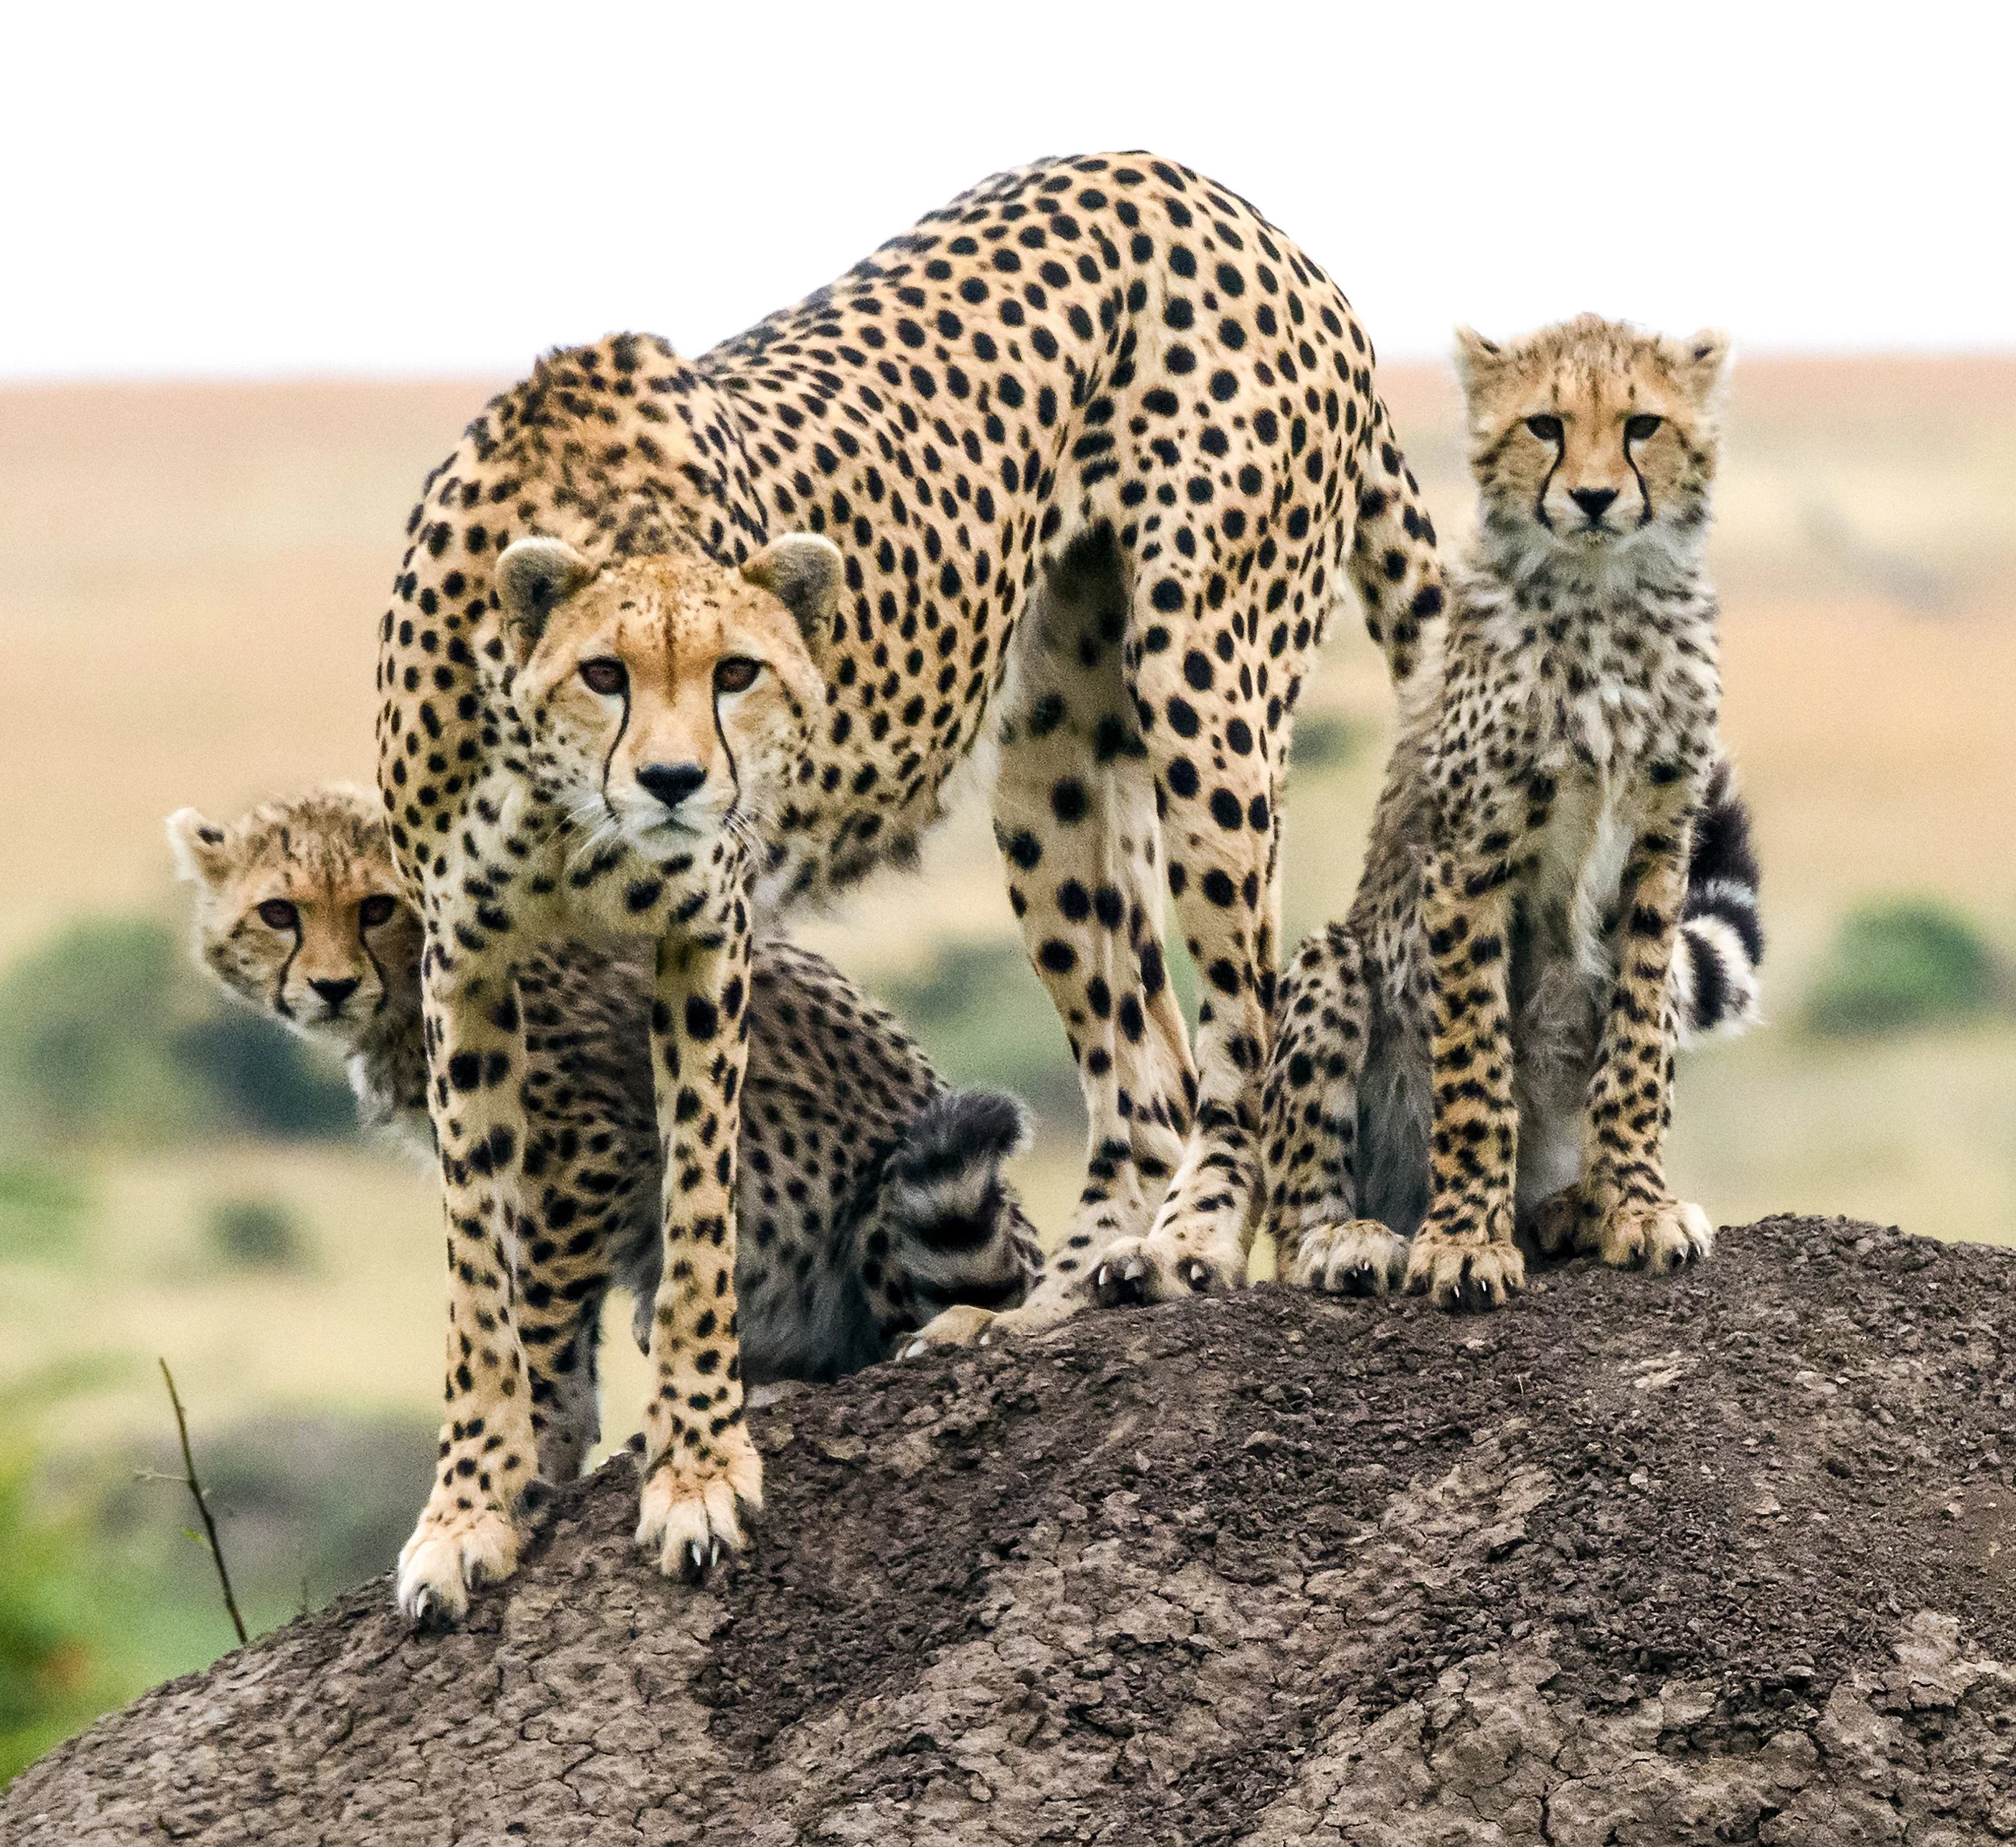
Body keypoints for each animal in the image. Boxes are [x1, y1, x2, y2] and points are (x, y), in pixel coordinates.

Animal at [168, 785, 1041, 1489]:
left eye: (375, 907)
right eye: (279, 912)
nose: (332, 985)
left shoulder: (585, 1146)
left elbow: (542, 1318)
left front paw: (535, 1452)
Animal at [373, 151, 1444, 1616]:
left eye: (741, 673)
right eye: (604, 672)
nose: (677, 783)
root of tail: (1207, 190)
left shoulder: (706, 943)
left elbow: (697, 1219)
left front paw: (697, 1473)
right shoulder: (466, 961)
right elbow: (481, 1264)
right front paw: (470, 1508)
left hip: (1205, 678)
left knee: (1239, 1022)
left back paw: (1198, 1241)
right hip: (1049, 770)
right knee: (1143, 1064)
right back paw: (1039, 1306)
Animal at [1253, 313, 1744, 1312]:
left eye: (1641, 424)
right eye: (1543, 426)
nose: (1593, 497)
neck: (1602, 602)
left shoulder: (1659, 848)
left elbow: (1636, 1042)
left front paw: (1636, 1206)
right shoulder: (1468, 856)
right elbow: (1475, 1063)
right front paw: (1464, 1244)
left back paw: (1568, 1207)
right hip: (1334, 958)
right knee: (1298, 1207)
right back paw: (1350, 1237)